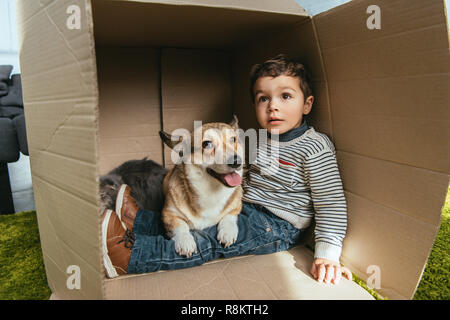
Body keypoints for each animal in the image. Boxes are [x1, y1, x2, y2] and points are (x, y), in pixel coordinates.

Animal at [160, 115, 244, 258]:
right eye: (207, 144)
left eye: (233, 139)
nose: (237, 161)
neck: (211, 191)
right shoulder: (168, 214)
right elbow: (180, 226)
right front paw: (185, 241)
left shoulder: (236, 206)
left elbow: (229, 216)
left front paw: (227, 232)